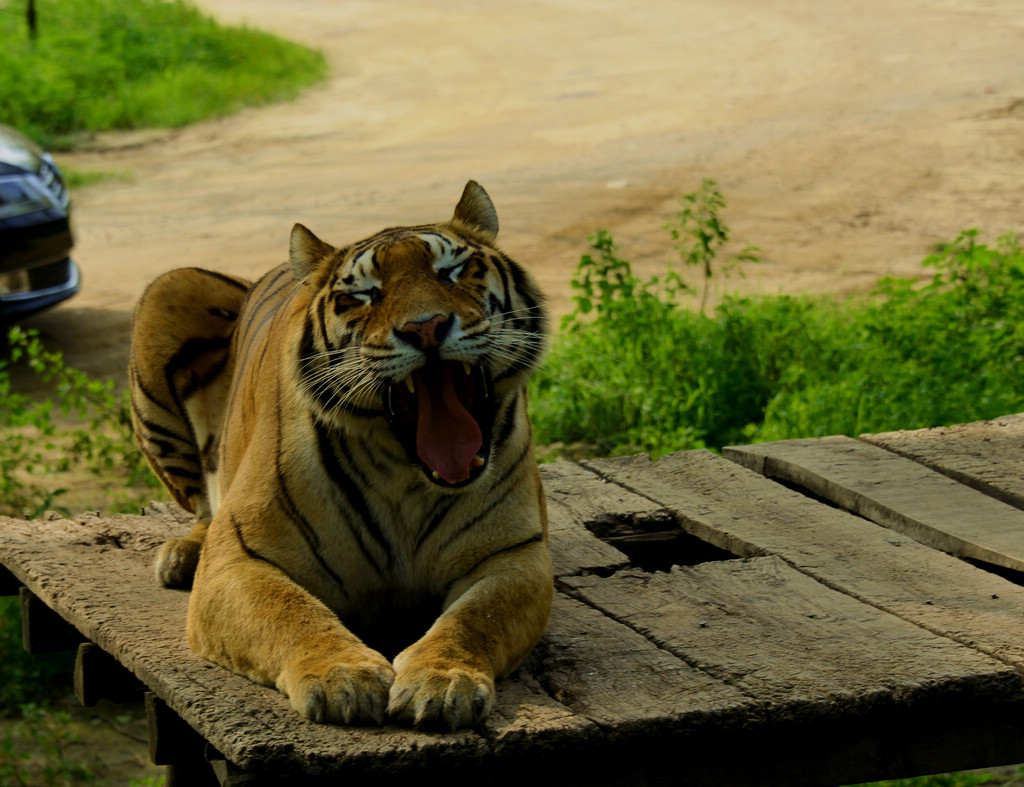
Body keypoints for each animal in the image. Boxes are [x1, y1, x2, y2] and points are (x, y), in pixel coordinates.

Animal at [133, 181, 557, 728]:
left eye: (453, 271)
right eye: (363, 295)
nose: (426, 328)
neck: (407, 478)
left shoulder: (513, 553)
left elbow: (476, 617)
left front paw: (442, 681)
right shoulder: (239, 557)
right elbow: (290, 611)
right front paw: (342, 677)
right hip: (170, 289)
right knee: (203, 507)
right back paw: (182, 556)